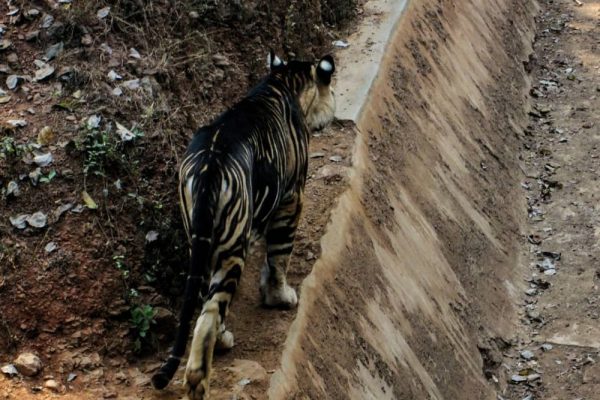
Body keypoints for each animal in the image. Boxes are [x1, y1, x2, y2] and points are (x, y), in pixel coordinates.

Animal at [151, 50, 338, 400]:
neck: (282, 80)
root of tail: (209, 166)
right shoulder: (292, 196)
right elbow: (280, 254)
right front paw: (280, 296)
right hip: (231, 248)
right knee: (209, 314)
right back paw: (198, 381)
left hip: (202, 242)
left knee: (206, 301)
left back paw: (221, 342)